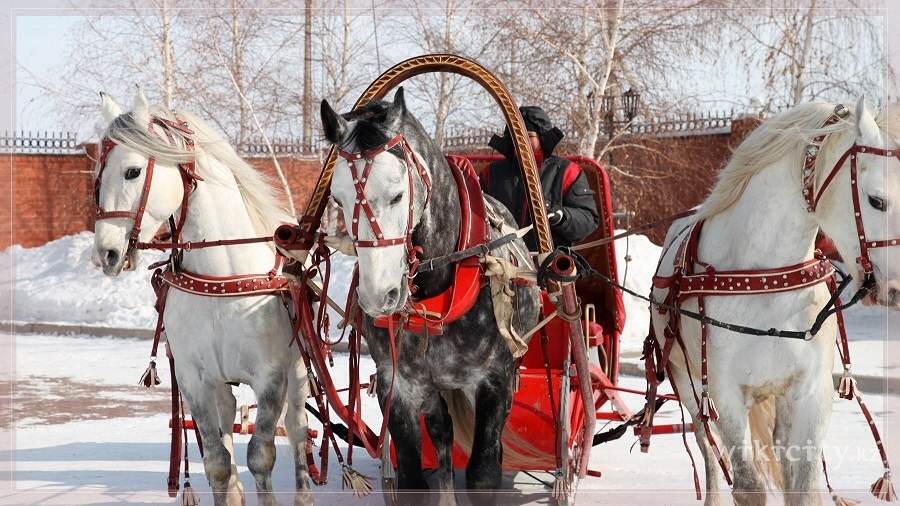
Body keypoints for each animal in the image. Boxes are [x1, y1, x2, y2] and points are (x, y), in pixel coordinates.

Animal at [90, 88, 312, 506]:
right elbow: (217, 462)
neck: (219, 280)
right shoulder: (193, 379)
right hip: (222, 385)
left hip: (298, 372)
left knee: (299, 430)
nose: (105, 254)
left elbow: (261, 455)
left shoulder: (271, 376)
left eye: (132, 171)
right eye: (98, 174)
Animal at [652, 97, 900, 504]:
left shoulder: (810, 392)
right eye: (876, 200)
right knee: (709, 452)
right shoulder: (722, 393)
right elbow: (748, 486)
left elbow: (803, 486)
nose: (895, 289)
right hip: (686, 384)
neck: (766, 278)